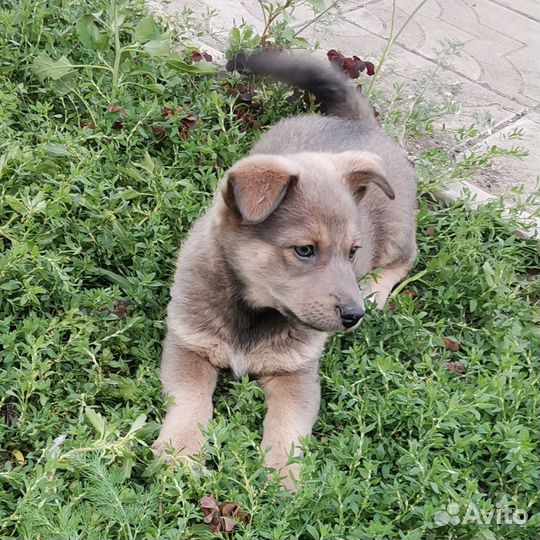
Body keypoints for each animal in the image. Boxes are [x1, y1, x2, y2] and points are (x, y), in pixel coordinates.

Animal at [156, 51, 418, 490]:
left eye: (353, 251)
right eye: (305, 250)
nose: (354, 316)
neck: (254, 317)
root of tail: (358, 124)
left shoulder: (296, 376)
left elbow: (288, 427)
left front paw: (283, 473)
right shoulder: (189, 348)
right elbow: (191, 403)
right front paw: (180, 453)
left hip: (397, 227)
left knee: (406, 259)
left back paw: (375, 291)